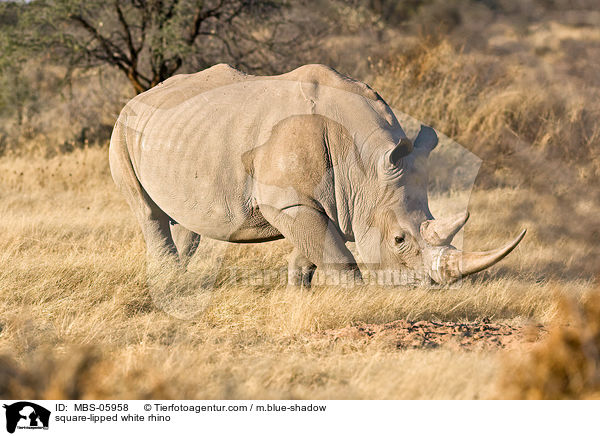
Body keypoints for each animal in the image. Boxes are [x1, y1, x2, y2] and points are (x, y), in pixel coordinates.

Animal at [109, 62, 524, 286]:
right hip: (123, 128)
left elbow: (312, 250)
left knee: (184, 219)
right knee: (147, 210)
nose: (424, 288)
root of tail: (139, 96)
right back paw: (170, 283)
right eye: (399, 239)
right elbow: (337, 257)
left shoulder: (316, 201)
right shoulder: (289, 201)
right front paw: (357, 300)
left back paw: (180, 279)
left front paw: (297, 293)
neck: (365, 166)